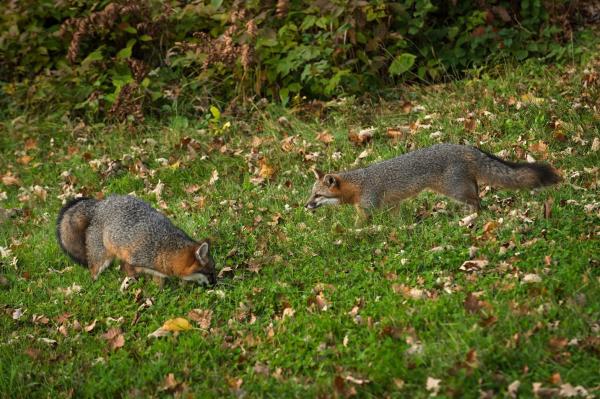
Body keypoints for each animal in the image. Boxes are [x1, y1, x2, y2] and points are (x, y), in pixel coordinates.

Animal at [55, 195, 216, 286]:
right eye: (210, 273)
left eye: (214, 270)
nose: (216, 285)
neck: (165, 247)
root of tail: (100, 205)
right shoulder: (132, 261)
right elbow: (131, 274)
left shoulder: (157, 271)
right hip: (101, 258)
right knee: (93, 272)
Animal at [304, 144, 564, 219]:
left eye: (317, 195)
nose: (305, 206)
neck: (358, 184)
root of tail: (465, 146)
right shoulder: (391, 205)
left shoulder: (369, 208)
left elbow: (360, 227)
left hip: (455, 190)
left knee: (476, 203)